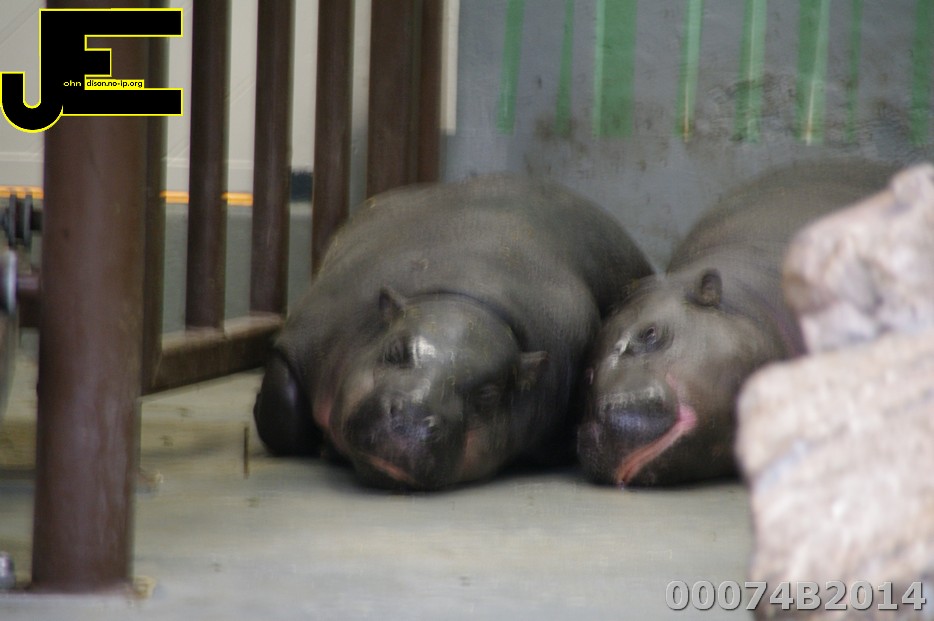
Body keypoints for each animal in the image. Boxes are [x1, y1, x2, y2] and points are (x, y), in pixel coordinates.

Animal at [254, 175, 652, 490]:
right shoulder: (306, 341)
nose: (412, 419)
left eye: (489, 394)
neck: (462, 299)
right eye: (395, 351)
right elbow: (284, 411)